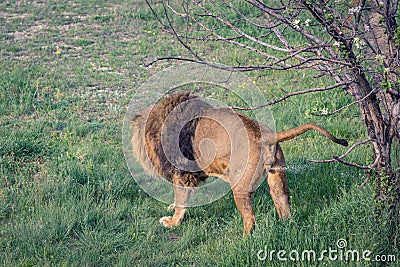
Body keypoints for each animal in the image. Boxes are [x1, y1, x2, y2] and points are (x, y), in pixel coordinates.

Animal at [130, 92, 346, 239]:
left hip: (240, 187)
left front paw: (172, 222)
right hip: (277, 178)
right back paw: (287, 226)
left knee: (250, 218)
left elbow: (181, 201)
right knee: (283, 203)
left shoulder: (183, 174)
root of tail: (265, 135)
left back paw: (243, 240)